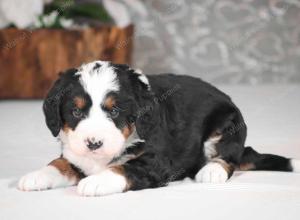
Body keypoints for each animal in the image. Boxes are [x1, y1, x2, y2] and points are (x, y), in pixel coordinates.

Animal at [18, 60, 300, 196]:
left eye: (115, 111)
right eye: (76, 112)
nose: (94, 143)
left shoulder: (156, 161)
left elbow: (124, 168)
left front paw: (96, 181)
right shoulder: (75, 153)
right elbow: (60, 162)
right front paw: (37, 175)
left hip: (226, 124)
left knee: (230, 156)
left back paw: (212, 170)